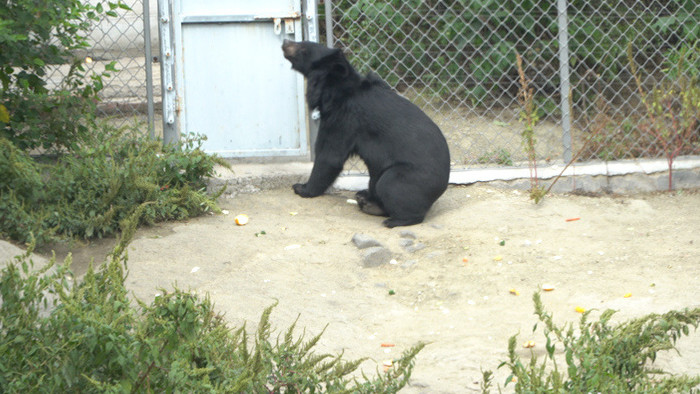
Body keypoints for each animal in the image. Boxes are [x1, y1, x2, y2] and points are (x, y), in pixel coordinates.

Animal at [282, 40, 452, 228]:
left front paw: (301, 188)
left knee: (390, 186)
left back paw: (392, 219)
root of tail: (442, 185)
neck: (335, 89)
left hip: (409, 178)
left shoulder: (342, 119)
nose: (285, 42)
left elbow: (329, 156)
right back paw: (366, 200)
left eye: (303, 47)